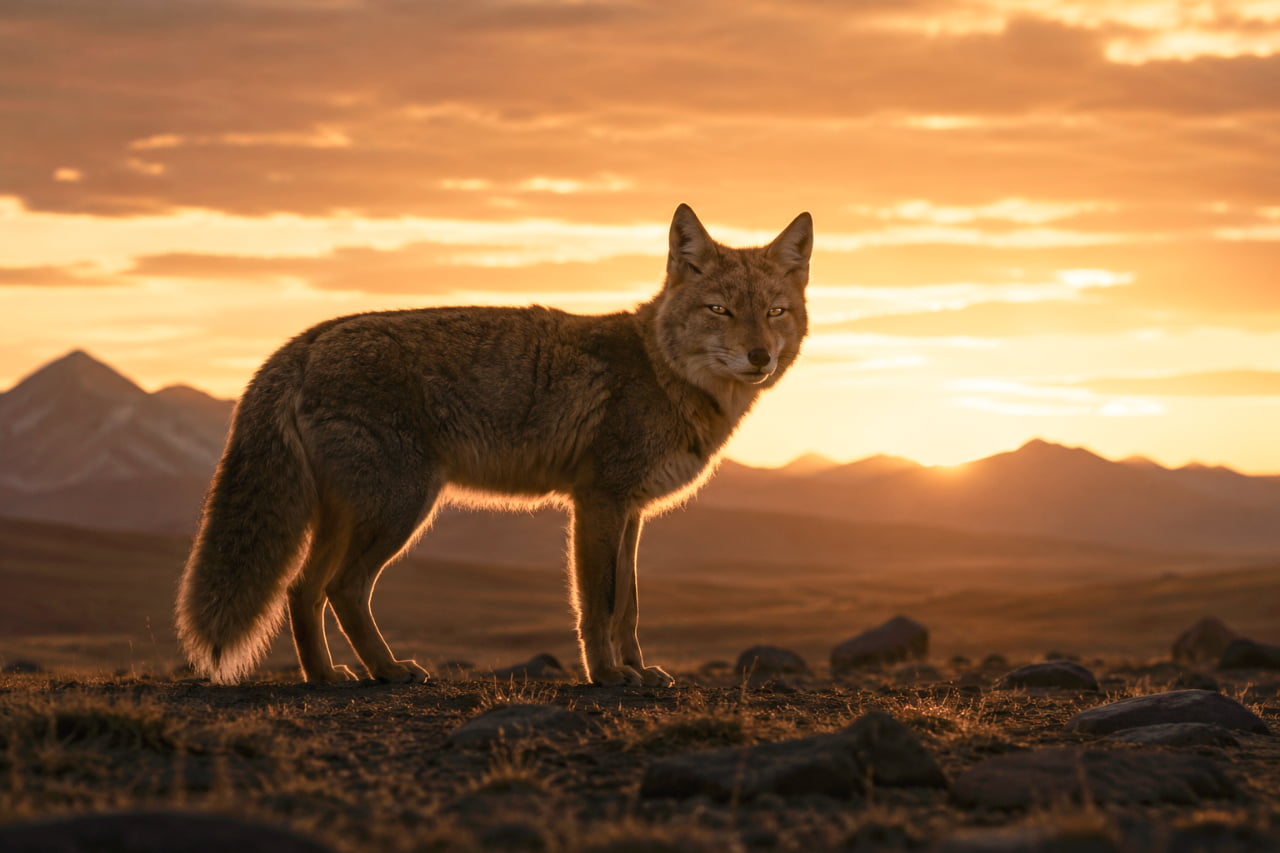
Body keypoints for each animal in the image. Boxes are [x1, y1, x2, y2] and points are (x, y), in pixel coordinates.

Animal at [175, 204, 813, 687]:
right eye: (720, 310)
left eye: (775, 312)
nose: (760, 357)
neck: (663, 372)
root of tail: (309, 339)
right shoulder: (598, 503)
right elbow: (599, 603)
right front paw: (607, 677)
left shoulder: (631, 512)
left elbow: (629, 605)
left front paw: (639, 670)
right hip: (400, 509)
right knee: (341, 589)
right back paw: (388, 670)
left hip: (353, 516)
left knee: (302, 590)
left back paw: (327, 678)